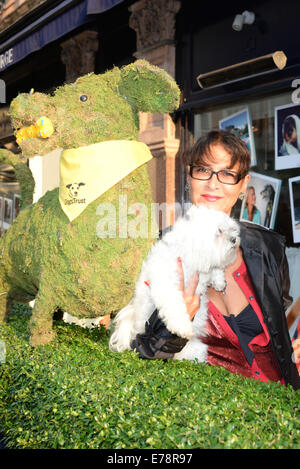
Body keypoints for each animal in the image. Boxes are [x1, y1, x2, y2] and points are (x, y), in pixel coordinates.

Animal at [109, 205, 240, 362]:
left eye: (232, 229)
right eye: (219, 231)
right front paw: (182, 327)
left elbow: (216, 268)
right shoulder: (166, 284)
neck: (188, 254)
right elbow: (174, 306)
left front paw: (219, 281)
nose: (234, 239)